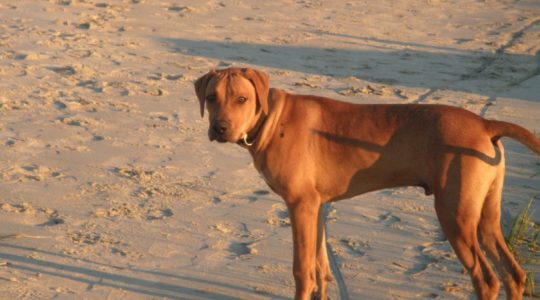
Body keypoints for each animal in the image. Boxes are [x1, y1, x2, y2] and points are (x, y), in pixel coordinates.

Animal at [194, 67, 540, 300]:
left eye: (242, 99)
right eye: (211, 98)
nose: (219, 128)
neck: (271, 119)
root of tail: (485, 124)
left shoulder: (300, 205)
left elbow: (302, 270)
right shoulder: (316, 207)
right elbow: (319, 267)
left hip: (455, 217)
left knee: (487, 279)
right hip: (485, 217)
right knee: (513, 274)